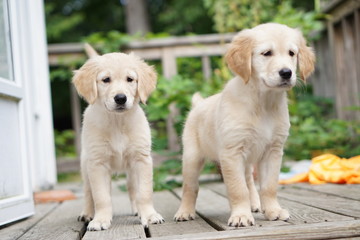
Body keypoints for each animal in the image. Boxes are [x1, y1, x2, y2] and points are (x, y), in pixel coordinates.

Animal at [73, 43, 165, 231]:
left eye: (130, 79)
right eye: (106, 79)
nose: (121, 98)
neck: (117, 122)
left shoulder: (142, 159)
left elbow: (144, 192)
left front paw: (149, 215)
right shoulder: (97, 163)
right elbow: (101, 196)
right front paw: (100, 220)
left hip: (131, 171)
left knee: (132, 189)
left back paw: (137, 210)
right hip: (85, 165)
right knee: (88, 192)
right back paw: (87, 213)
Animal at [174, 23, 316, 227]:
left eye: (292, 53)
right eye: (267, 53)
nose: (286, 73)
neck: (263, 103)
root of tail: (198, 105)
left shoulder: (273, 151)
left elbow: (268, 186)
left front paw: (273, 211)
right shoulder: (232, 152)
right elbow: (237, 188)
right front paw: (241, 215)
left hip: (248, 162)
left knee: (249, 182)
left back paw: (254, 204)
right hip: (192, 158)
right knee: (190, 187)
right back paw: (185, 212)